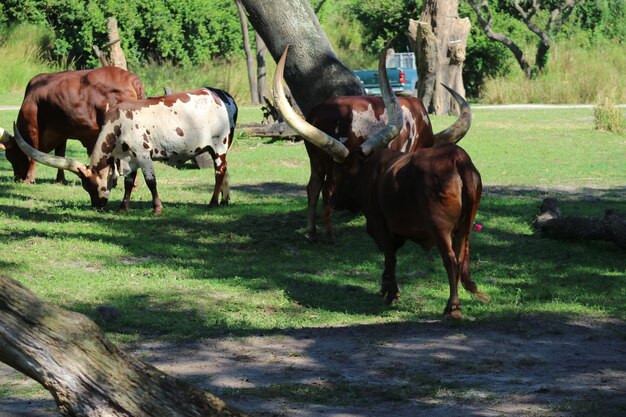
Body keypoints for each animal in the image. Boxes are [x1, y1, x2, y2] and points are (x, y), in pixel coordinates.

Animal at [0, 66, 144, 183]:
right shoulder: (60, 132)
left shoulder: (32, 128)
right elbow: (60, 154)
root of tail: (130, 78)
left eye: (10, 156)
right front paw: (60, 179)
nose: (17, 178)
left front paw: (29, 179)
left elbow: (32, 154)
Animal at [12, 86, 236, 213]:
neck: (119, 126)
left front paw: (157, 208)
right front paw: (123, 207)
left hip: (219, 145)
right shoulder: (130, 157)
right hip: (219, 148)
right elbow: (129, 183)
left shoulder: (144, 154)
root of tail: (223, 95)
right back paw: (225, 200)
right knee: (226, 171)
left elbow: (150, 182)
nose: (97, 206)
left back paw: (213, 202)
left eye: (91, 186)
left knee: (219, 173)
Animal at [272, 46, 488, 318]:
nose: (341, 202)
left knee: (317, 188)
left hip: (321, 161)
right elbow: (390, 256)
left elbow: (390, 256)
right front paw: (388, 290)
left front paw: (389, 290)